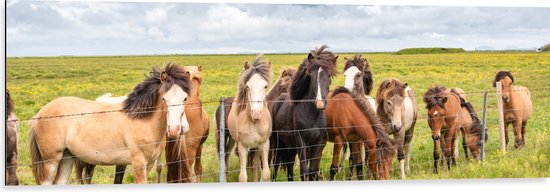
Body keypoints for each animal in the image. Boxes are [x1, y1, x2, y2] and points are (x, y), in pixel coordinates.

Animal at [31, 63, 194, 184]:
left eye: (185, 98)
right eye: (164, 99)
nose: (175, 129)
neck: (141, 120)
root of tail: (39, 114)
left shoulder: (148, 165)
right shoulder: (138, 165)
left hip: (67, 157)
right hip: (51, 161)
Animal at [272, 44, 340, 181]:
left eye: (329, 75)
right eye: (311, 76)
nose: (320, 103)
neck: (312, 116)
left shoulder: (317, 143)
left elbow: (313, 171)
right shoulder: (301, 141)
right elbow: (304, 171)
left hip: (290, 146)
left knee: (289, 165)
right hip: (277, 142)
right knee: (275, 164)